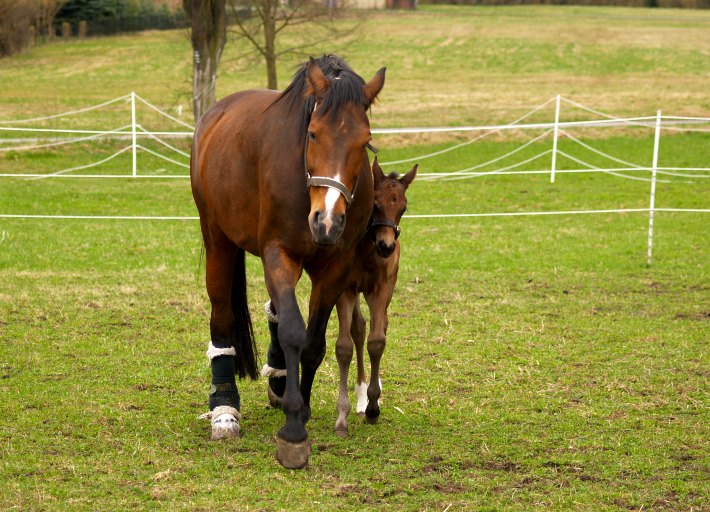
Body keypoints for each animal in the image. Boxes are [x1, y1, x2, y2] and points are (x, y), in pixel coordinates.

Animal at [191, 55, 384, 468]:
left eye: (364, 142)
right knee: (222, 318)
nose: (327, 221)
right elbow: (295, 331)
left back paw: (280, 379)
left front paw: (300, 406)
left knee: (276, 311)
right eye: (312, 134)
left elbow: (311, 343)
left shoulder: (335, 267)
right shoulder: (278, 254)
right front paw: (293, 432)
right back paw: (225, 407)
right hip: (218, 241)